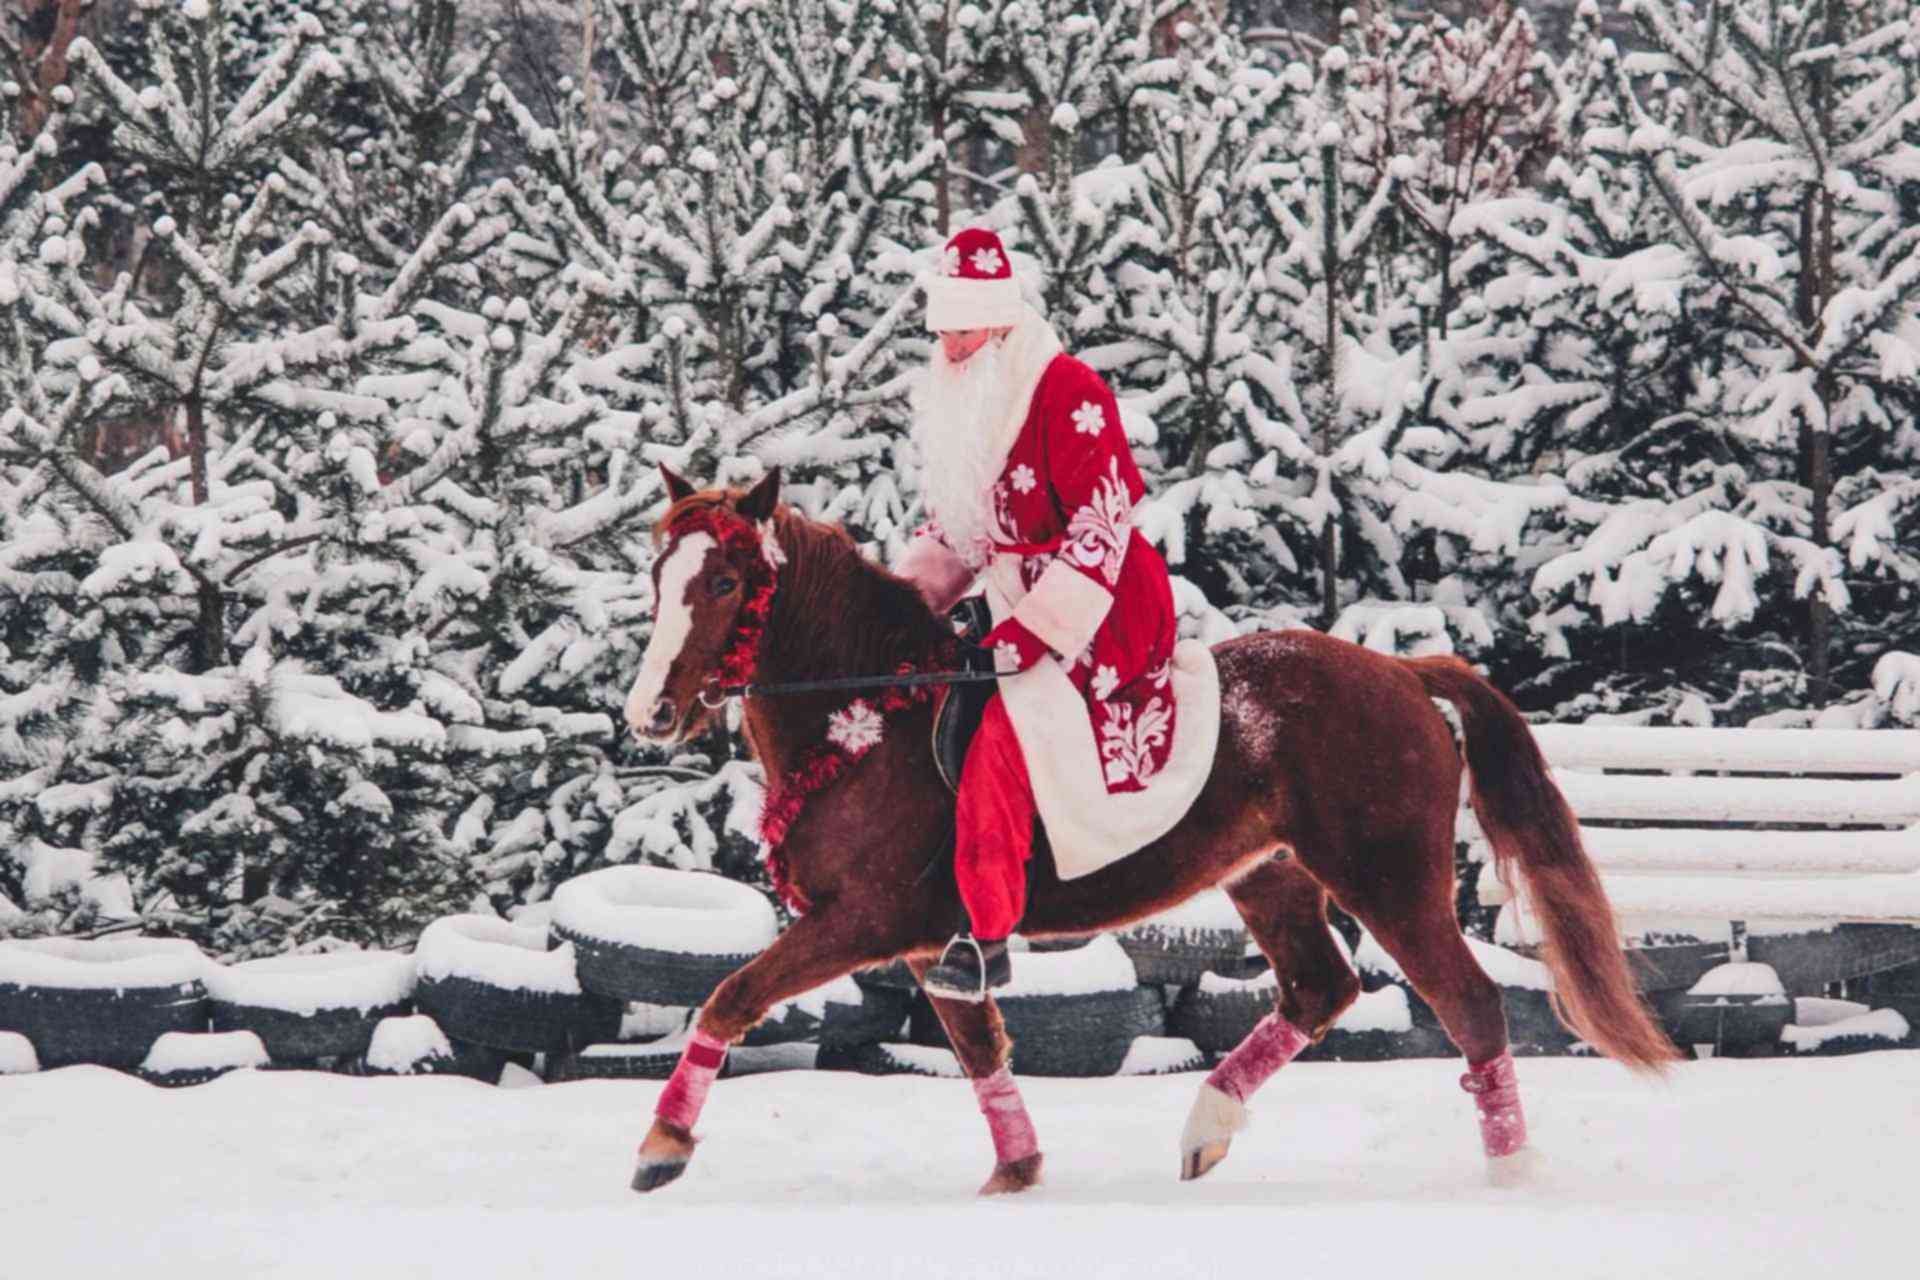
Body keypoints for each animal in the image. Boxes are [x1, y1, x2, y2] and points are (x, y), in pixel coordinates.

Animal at [622, 470, 1674, 1205]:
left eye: (726, 579)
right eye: (658, 577)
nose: (652, 713)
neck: (870, 712)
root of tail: (1400, 673)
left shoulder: (867, 920)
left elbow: (730, 995)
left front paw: (662, 1146)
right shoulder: (932, 946)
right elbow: (981, 1047)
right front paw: (1016, 1173)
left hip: (1390, 880)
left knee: (1470, 1004)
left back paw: (1510, 1173)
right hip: (1271, 874)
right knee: (1321, 988)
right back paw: (1207, 1126)